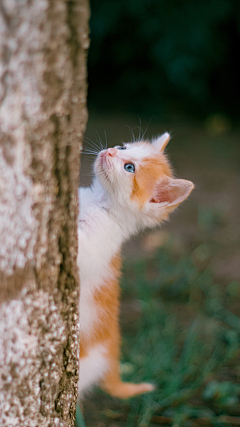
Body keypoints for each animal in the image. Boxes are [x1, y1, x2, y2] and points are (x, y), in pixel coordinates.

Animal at [78, 132, 194, 400]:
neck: (98, 201)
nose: (109, 151)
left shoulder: (97, 245)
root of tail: (112, 352)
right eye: (123, 147)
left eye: (129, 168)